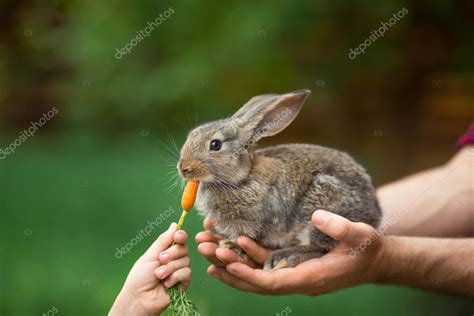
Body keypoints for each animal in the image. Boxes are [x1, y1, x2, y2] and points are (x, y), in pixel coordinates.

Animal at [177, 90, 382, 270]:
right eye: (191, 135)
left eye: (215, 145)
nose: (183, 168)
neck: (242, 177)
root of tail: (375, 216)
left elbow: (246, 236)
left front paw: (231, 246)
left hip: (318, 210)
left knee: (319, 247)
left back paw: (284, 258)